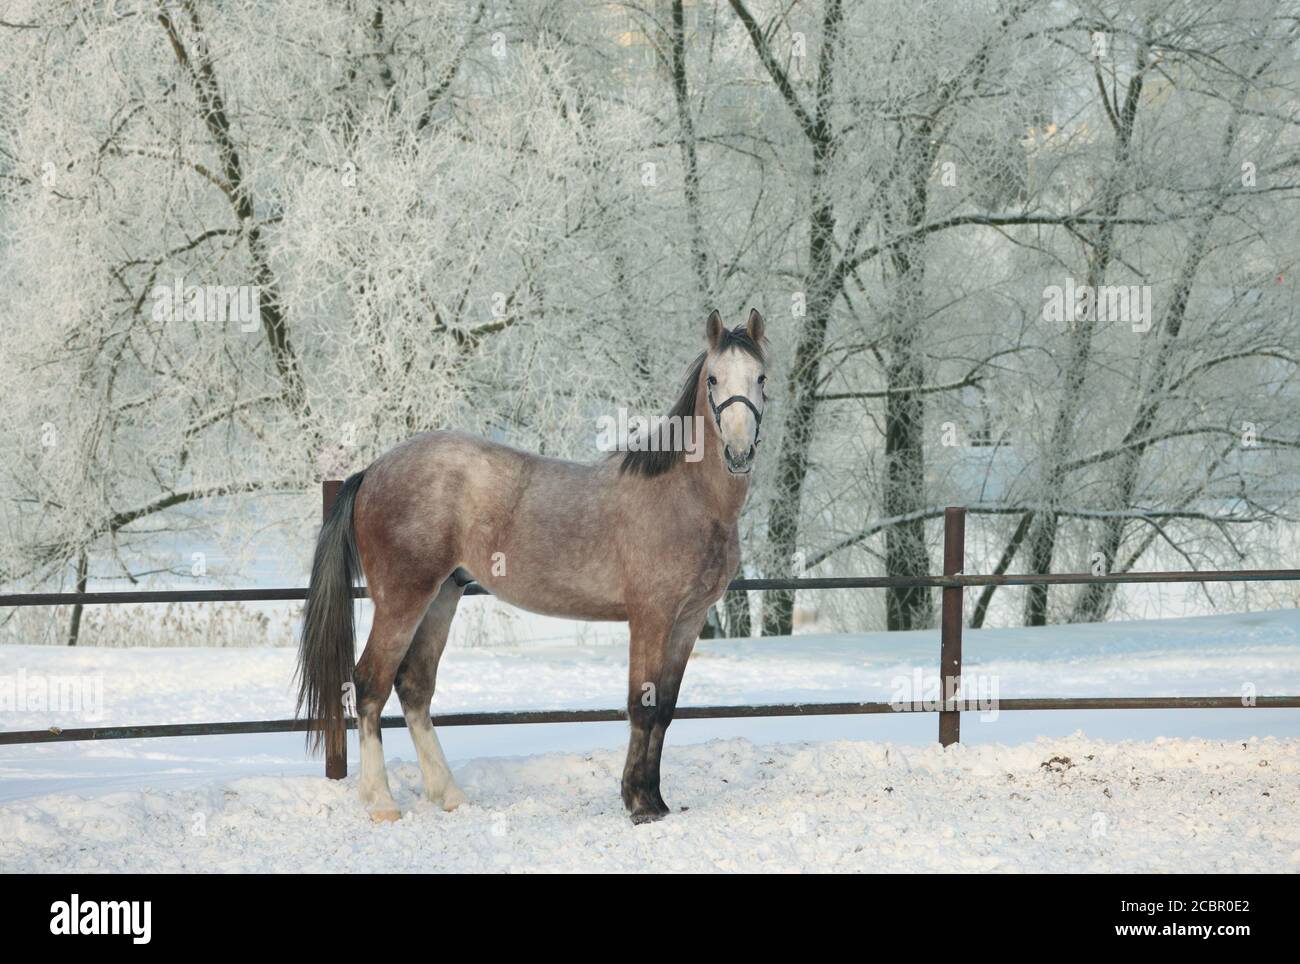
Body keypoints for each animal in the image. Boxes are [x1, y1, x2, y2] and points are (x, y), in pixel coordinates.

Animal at [297, 309, 764, 821]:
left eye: (761, 377)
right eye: (713, 378)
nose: (739, 453)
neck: (687, 498)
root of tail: (372, 471)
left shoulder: (689, 620)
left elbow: (664, 710)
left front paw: (655, 799)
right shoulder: (652, 617)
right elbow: (642, 706)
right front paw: (639, 803)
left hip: (442, 595)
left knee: (414, 686)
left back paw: (451, 795)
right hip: (403, 598)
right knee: (370, 684)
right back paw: (382, 802)